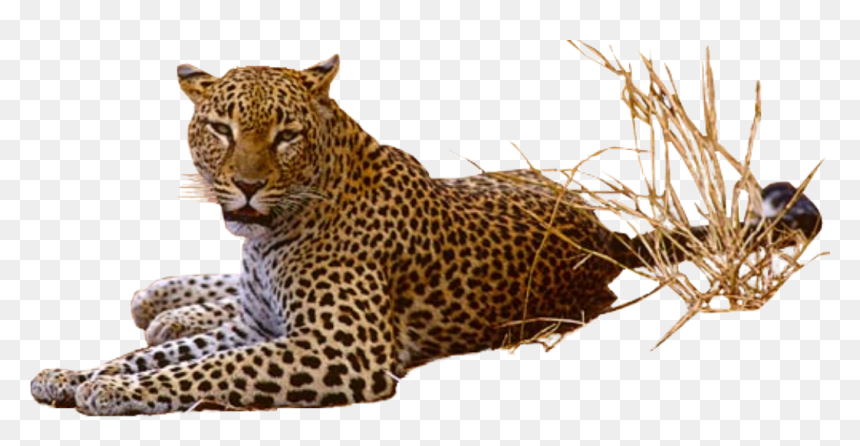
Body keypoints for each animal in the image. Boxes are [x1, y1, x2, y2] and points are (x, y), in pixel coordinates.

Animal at [30, 55, 822, 416]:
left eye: (285, 135)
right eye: (220, 129)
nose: (247, 186)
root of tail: (602, 233)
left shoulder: (340, 349)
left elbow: (207, 371)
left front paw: (107, 390)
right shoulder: (260, 324)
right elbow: (164, 354)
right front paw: (76, 374)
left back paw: (166, 305)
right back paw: (167, 303)